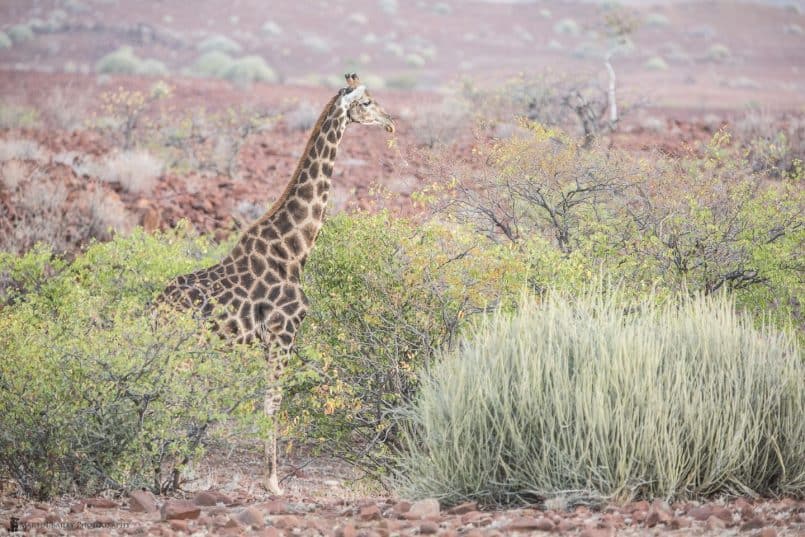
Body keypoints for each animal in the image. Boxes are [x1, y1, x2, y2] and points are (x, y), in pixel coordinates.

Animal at [156, 74, 392, 494]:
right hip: (183, 347)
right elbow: (274, 402)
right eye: (366, 102)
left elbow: (267, 401)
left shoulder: (268, 341)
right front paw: (273, 481)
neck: (295, 250)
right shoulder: (284, 332)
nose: (389, 121)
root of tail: (153, 306)